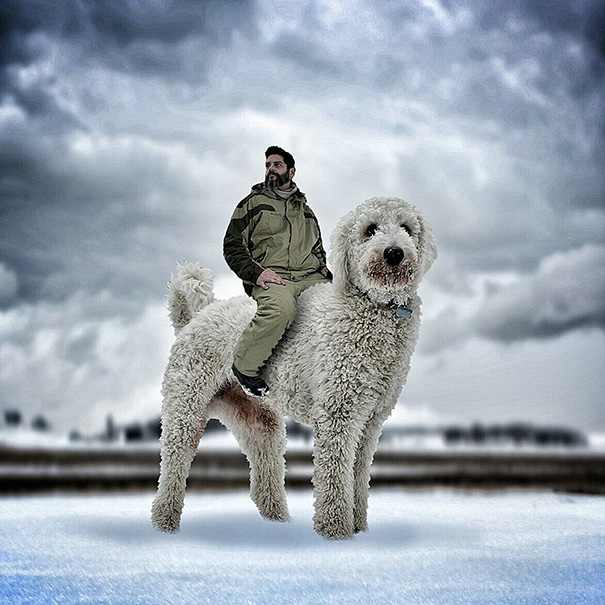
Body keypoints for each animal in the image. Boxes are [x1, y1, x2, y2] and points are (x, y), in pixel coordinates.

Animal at [150, 197, 434, 536]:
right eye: (370, 229)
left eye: (406, 228)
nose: (394, 253)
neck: (369, 307)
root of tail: (194, 318)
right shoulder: (337, 413)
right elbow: (335, 477)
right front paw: (336, 532)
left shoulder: (370, 420)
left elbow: (358, 477)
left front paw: (360, 531)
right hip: (186, 407)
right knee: (173, 465)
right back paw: (165, 524)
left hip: (260, 422)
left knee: (263, 480)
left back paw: (278, 524)